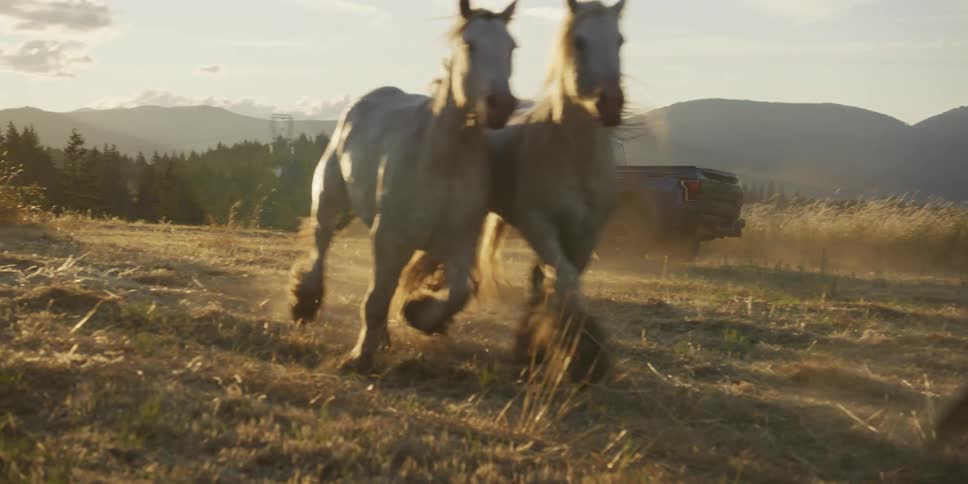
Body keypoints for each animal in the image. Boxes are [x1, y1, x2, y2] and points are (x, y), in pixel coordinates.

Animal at [289, 0, 519, 373]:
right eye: (469, 44)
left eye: (511, 47)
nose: (500, 105)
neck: (441, 159)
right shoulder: (389, 238)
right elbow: (375, 298)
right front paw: (359, 356)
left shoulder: (457, 242)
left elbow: (458, 293)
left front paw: (420, 315)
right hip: (329, 200)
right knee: (321, 245)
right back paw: (305, 304)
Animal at [403, 0, 628, 383]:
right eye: (579, 41)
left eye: (620, 41)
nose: (610, 103)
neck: (573, 154)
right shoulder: (538, 224)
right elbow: (565, 281)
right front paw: (576, 354)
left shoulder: (586, 235)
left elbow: (560, 282)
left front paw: (543, 344)